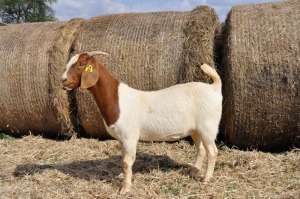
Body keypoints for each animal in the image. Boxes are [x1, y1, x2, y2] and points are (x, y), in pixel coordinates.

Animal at [61, 50, 223, 194]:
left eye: (81, 64)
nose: (63, 80)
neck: (118, 99)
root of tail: (214, 88)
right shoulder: (122, 138)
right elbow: (125, 161)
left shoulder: (129, 137)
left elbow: (127, 162)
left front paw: (125, 188)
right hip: (195, 129)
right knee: (201, 149)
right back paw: (193, 172)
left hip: (208, 126)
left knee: (212, 151)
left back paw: (206, 179)